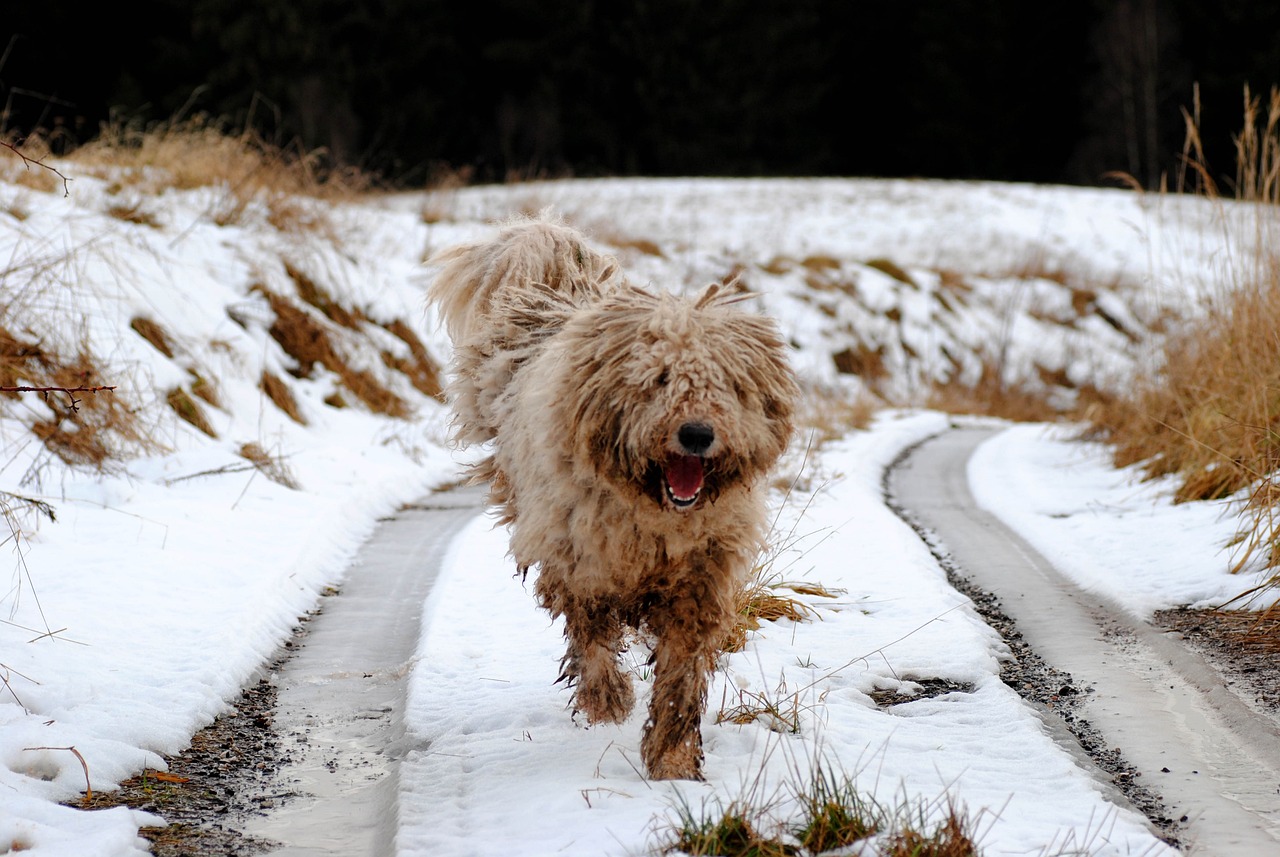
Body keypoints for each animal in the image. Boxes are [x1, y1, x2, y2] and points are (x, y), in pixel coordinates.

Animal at [424, 213, 793, 777]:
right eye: (659, 379)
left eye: (726, 385)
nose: (696, 434)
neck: (654, 512)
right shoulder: (580, 561)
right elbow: (592, 637)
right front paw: (608, 701)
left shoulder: (701, 578)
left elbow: (681, 676)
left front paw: (673, 761)